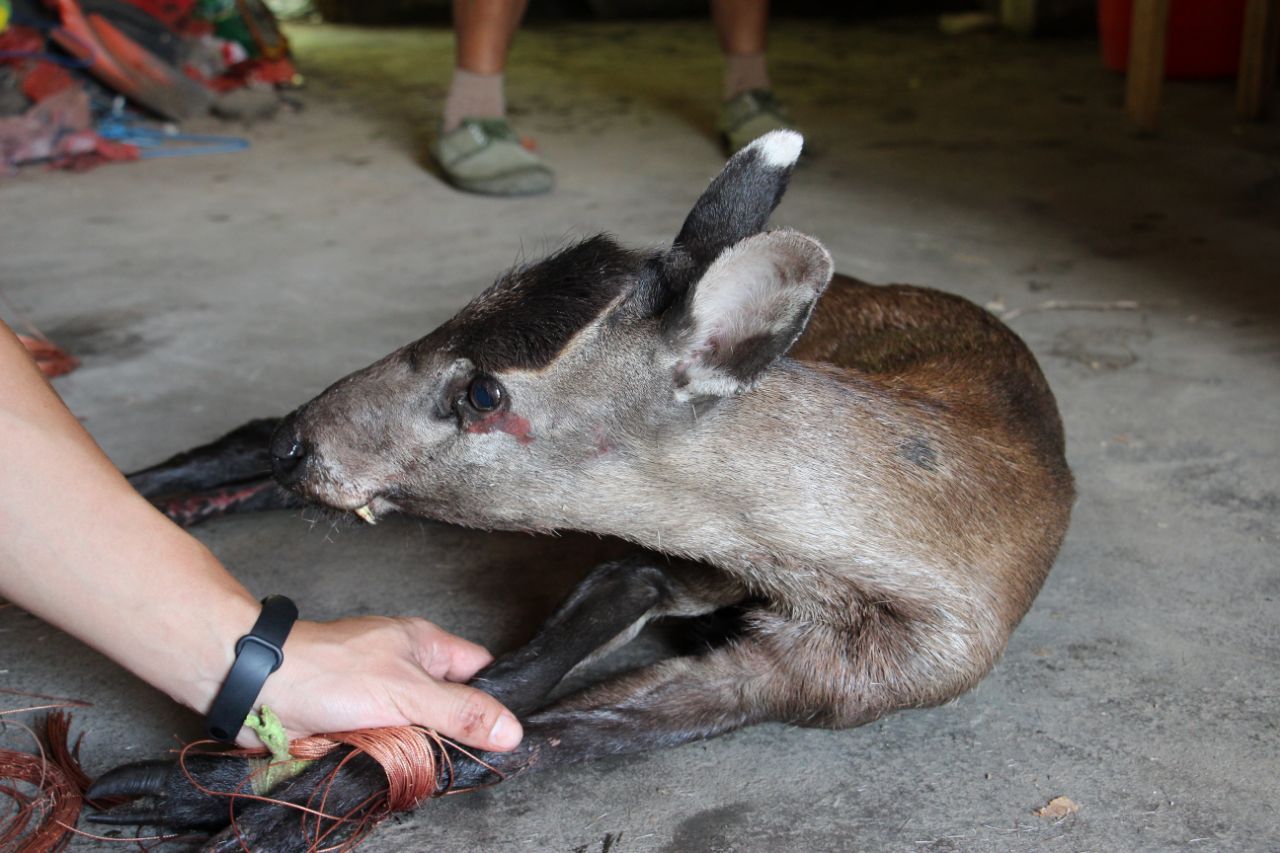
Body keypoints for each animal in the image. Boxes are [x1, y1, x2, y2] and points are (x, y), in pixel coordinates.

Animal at [85, 129, 1075, 845]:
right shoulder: (663, 556)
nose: (305, 445)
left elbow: (516, 732)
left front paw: (245, 808)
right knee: (247, 423)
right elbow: (510, 678)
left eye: (486, 392)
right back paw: (154, 482)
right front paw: (212, 783)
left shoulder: (825, 680)